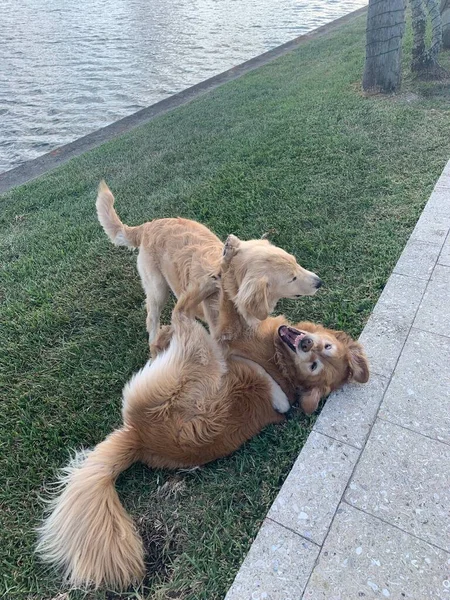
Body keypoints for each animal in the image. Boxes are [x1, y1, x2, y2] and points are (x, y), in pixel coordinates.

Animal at [37, 278, 368, 592]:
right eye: (323, 351)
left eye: (315, 362)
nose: (307, 342)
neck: (282, 363)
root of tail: (140, 438)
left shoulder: (230, 335)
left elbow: (228, 312)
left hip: (199, 352)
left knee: (181, 313)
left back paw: (202, 289)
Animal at [96, 180, 322, 342]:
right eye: (292, 278)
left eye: (296, 262)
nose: (320, 282)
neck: (229, 288)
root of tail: (148, 225)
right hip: (158, 289)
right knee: (152, 318)